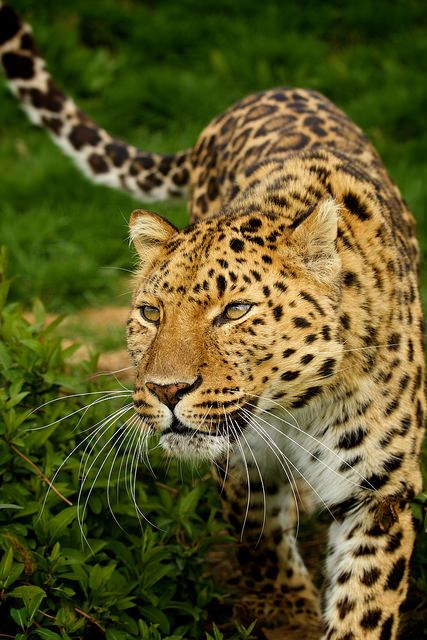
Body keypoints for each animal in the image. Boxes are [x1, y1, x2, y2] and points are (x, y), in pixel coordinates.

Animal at [1, 5, 426, 640]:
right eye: (151, 313)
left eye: (236, 311)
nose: (165, 390)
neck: (296, 410)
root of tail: (267, 90)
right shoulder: (242, 473)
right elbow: (264, 553)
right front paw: (291, 616)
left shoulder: (380, 489)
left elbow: (364, 606)